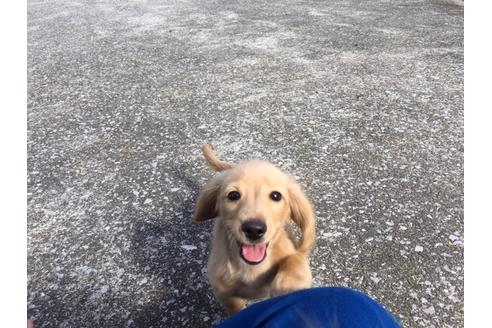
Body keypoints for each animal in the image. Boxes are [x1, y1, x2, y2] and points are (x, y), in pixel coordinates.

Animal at [192, 145, 316, 314]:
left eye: (276, 196)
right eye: (233, 195)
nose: (254, 229)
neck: (252, 268)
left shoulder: (294, 252)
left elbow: (294, 259)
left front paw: (288, 284)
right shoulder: (223, 290)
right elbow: (236, 307)